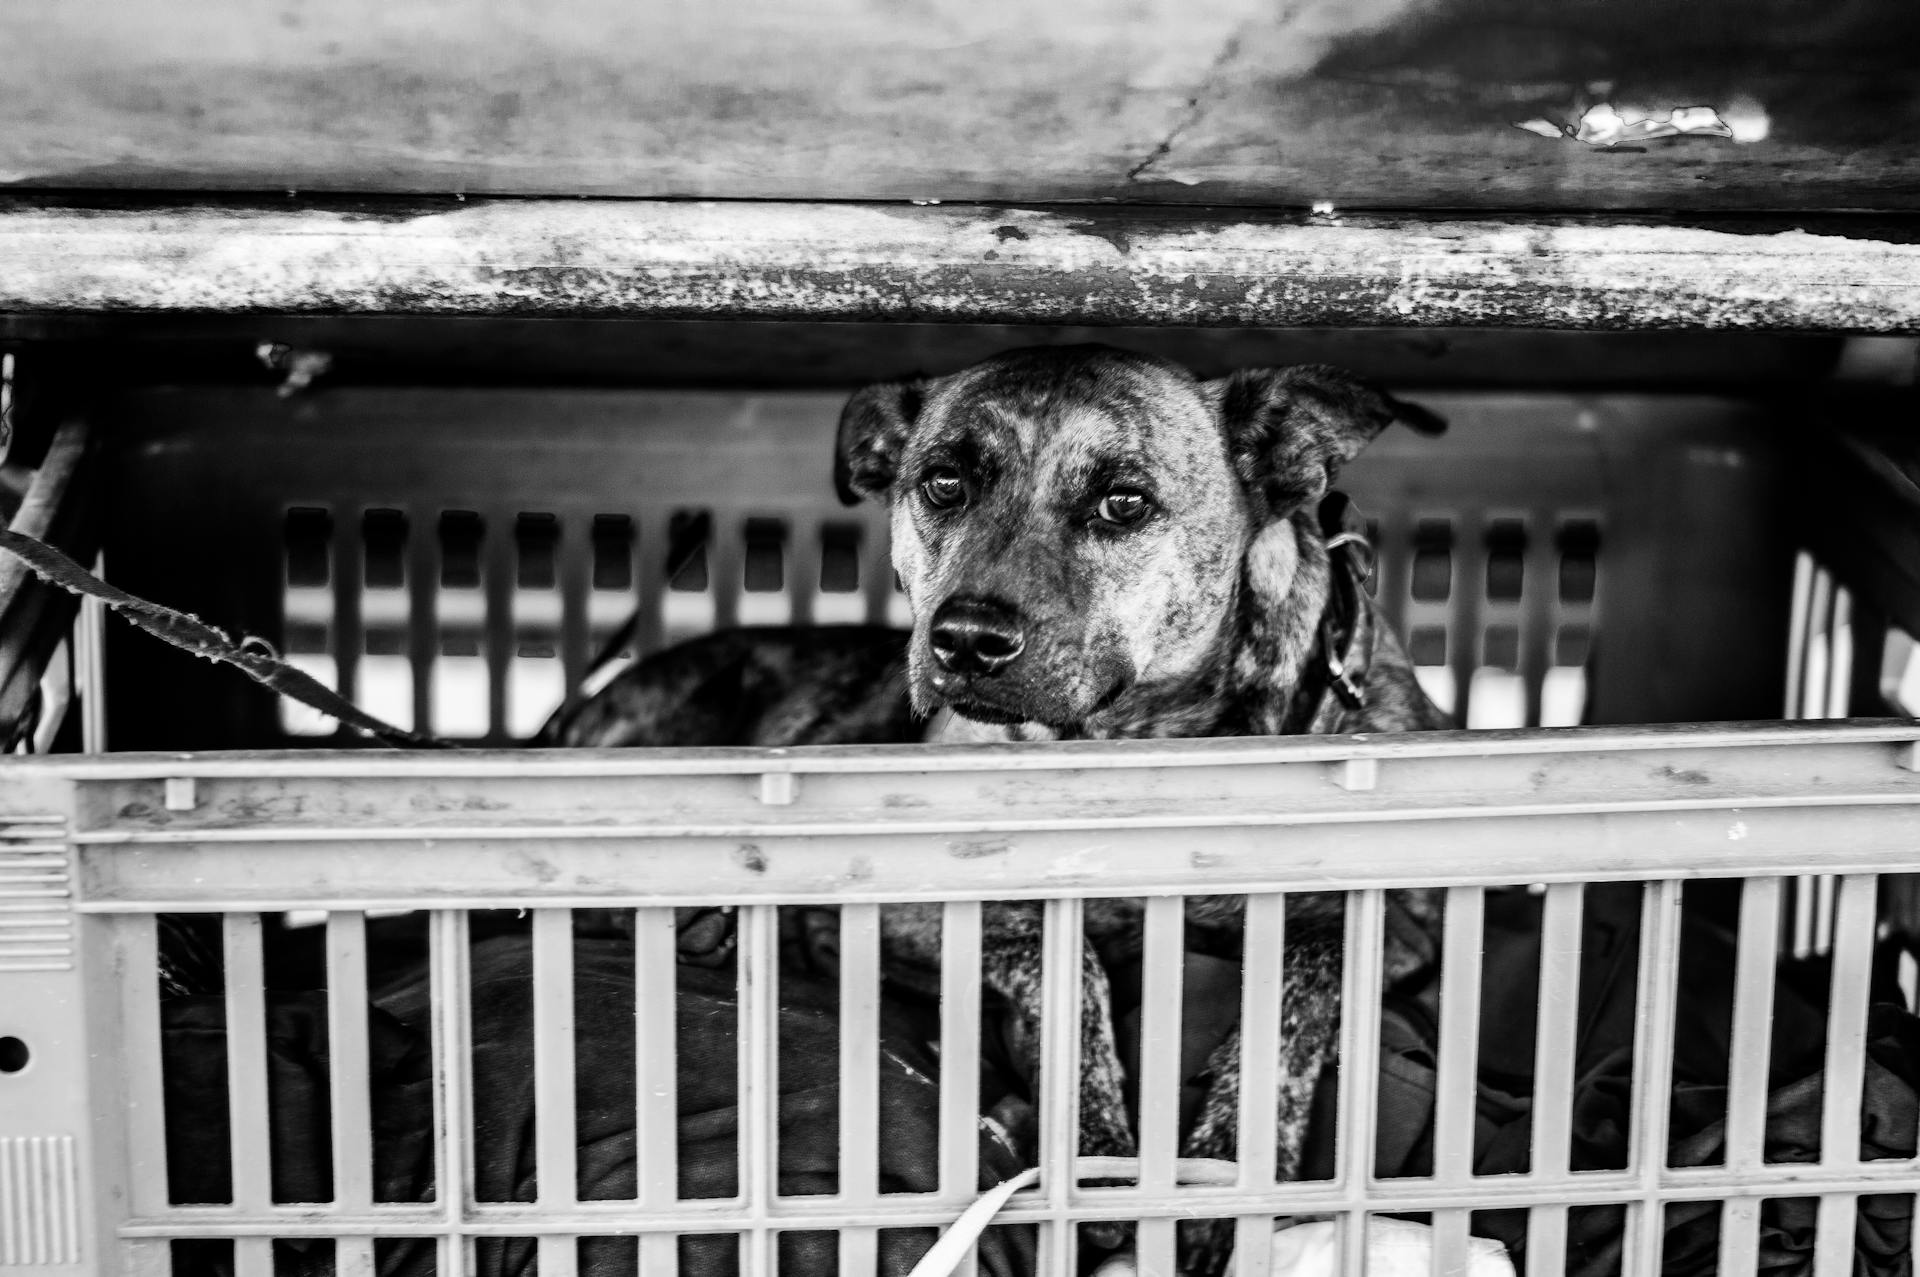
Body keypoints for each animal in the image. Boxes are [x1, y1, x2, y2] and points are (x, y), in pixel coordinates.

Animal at [556, 343, 1451, 1267]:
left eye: (1123, 502)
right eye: (944, 483)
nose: (966, 640)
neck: (1143, 741)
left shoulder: (1405, 921)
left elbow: (1303, 970)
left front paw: (1224, 1163)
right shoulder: (893, 910)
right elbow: (1064, 957)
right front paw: (1097, 1145)